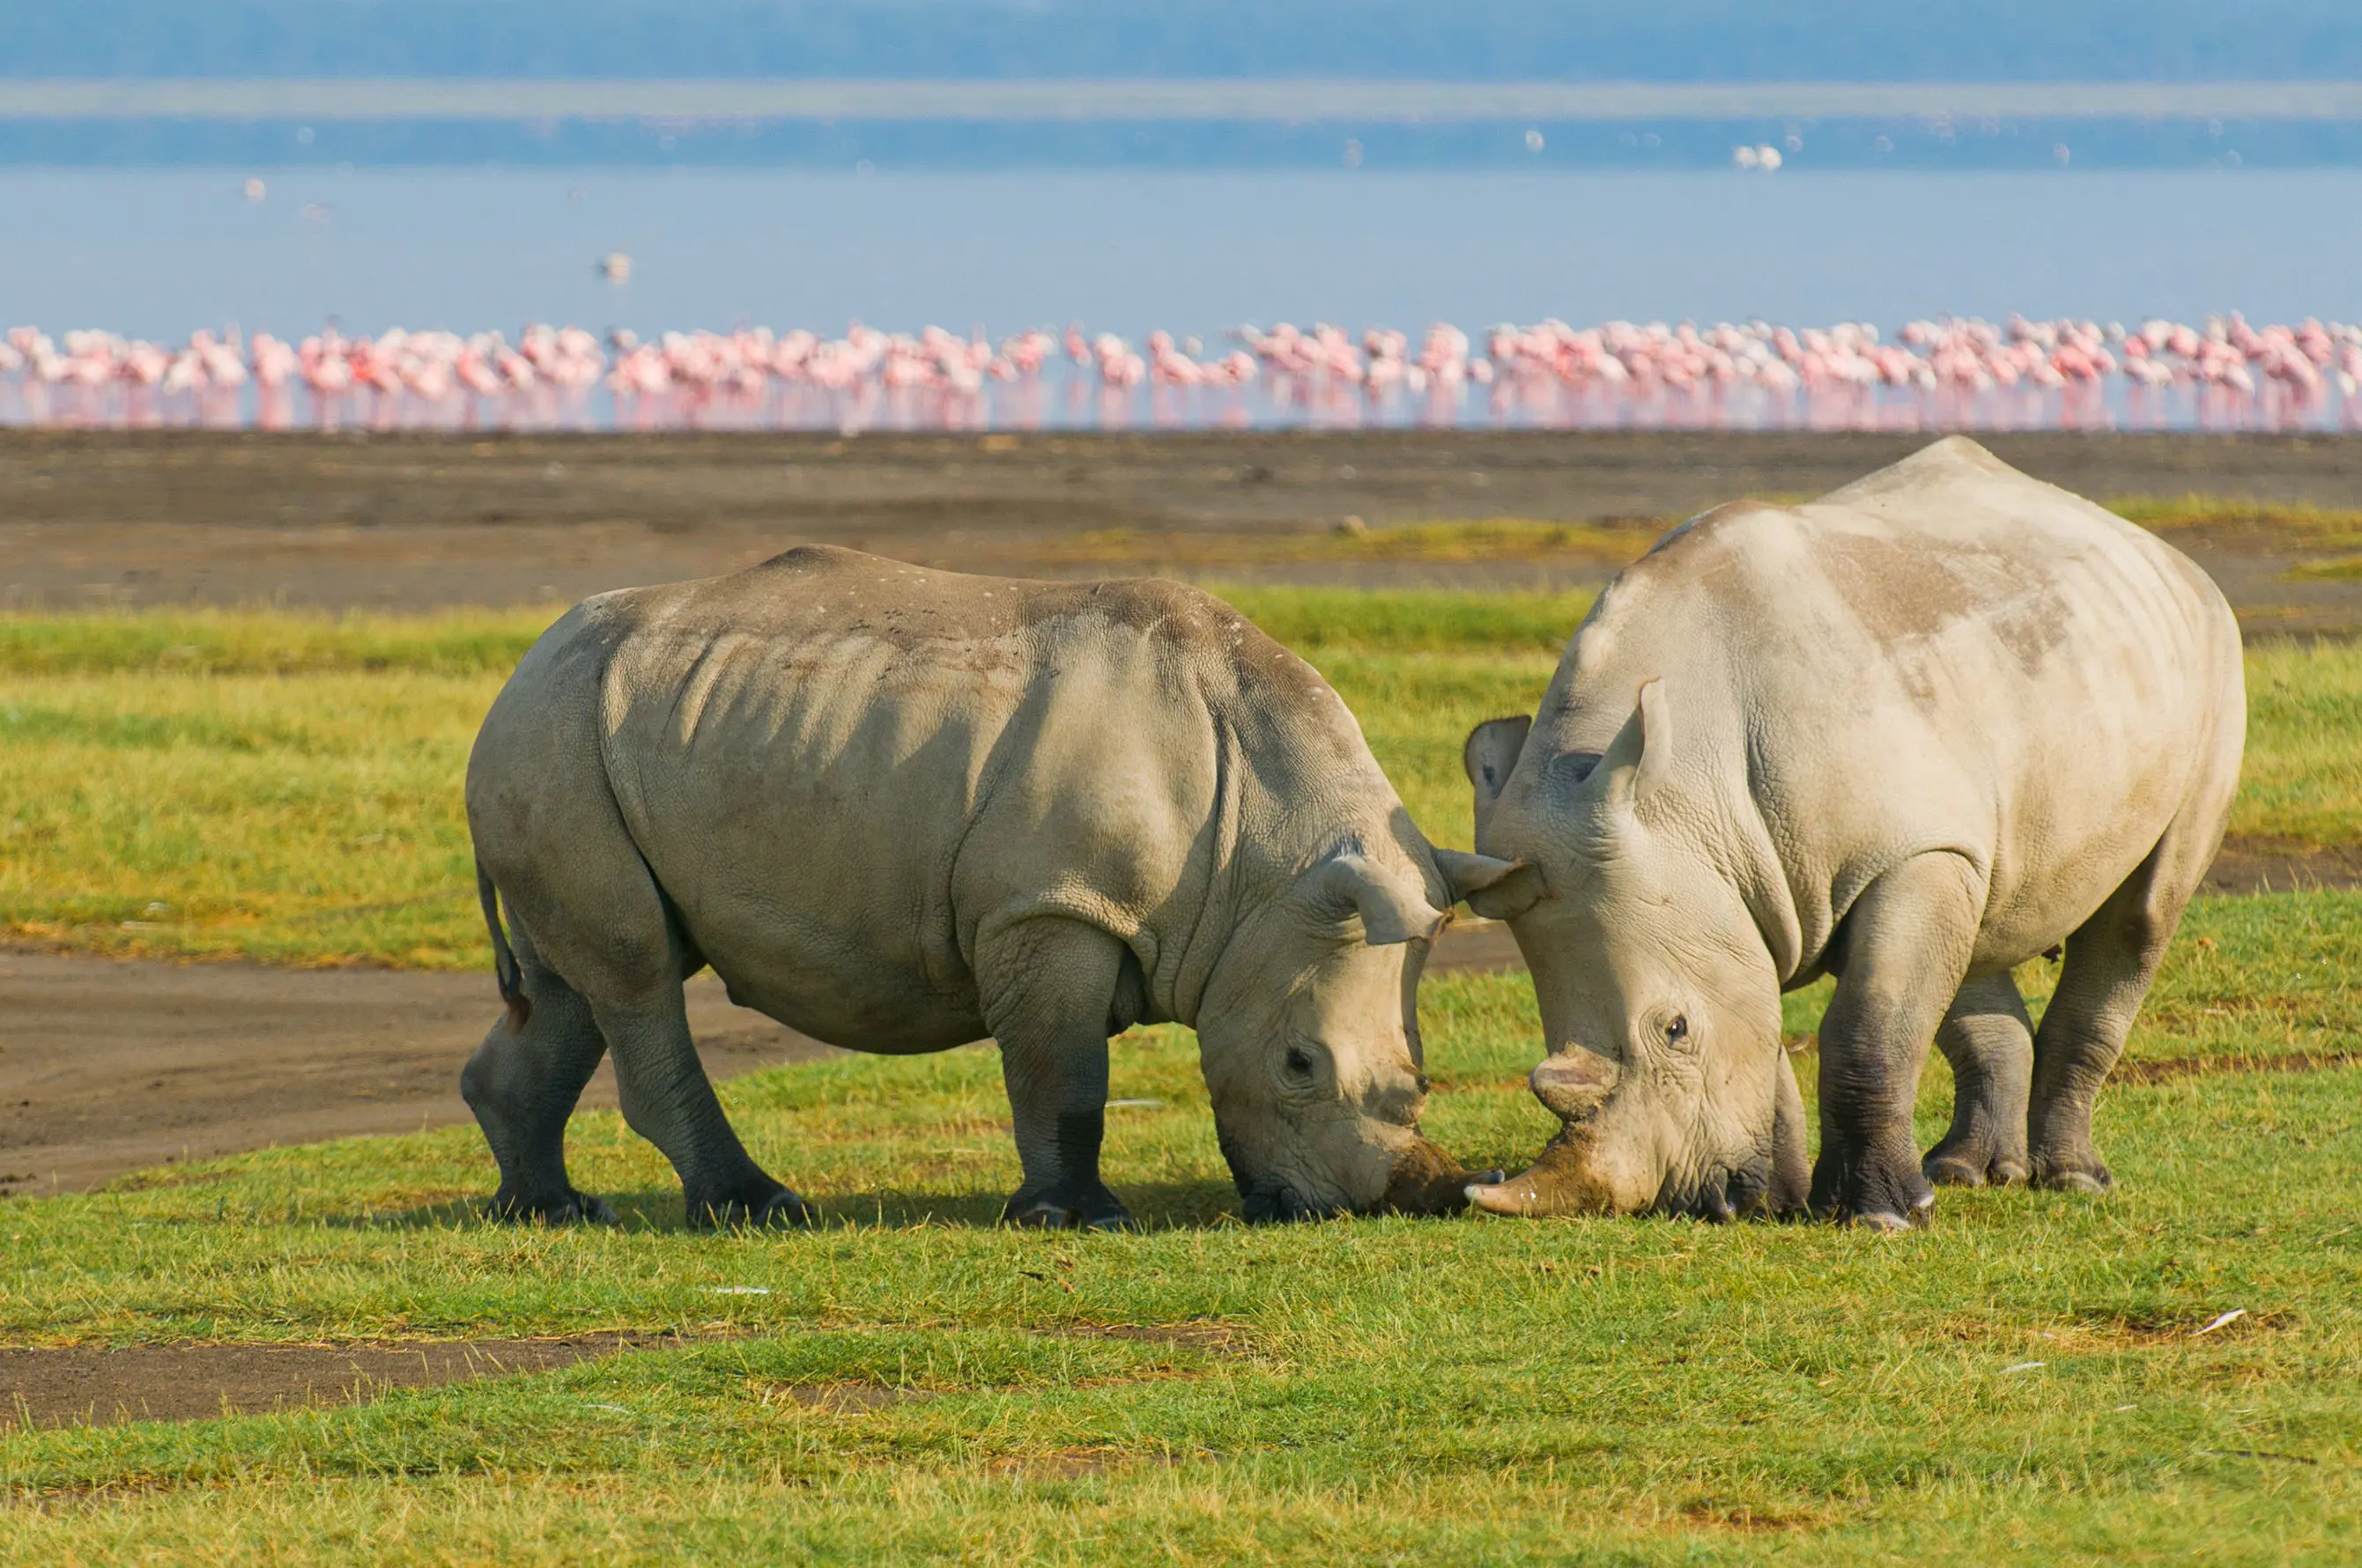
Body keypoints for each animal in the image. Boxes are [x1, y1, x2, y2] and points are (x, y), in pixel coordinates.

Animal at [463, 546, 1516, 1230]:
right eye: (1300, 1063)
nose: (1381, 1203)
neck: (1263, 858)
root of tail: (522, 665)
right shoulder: (1051, 904)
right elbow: (1064, 1072)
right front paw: (1077, 1219)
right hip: (556, 732)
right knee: (634, 969)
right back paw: (757, 1210)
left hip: (591, 736)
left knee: (574, 982)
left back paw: (552, 1210)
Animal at [1459, 437, 2245, 1228]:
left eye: (1674, 1028)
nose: (1697, 1203)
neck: (1682, 792)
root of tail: (2155, 549)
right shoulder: (1734, 887)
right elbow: (1769, 1024)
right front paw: (1788, 1201)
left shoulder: (1900, 852)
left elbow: (1868, 1024)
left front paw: (1879, 1217)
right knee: (1977, 921)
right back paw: (1966, 1173)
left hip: (2212, 654)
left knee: (2138, 917)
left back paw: (2072, 1180)